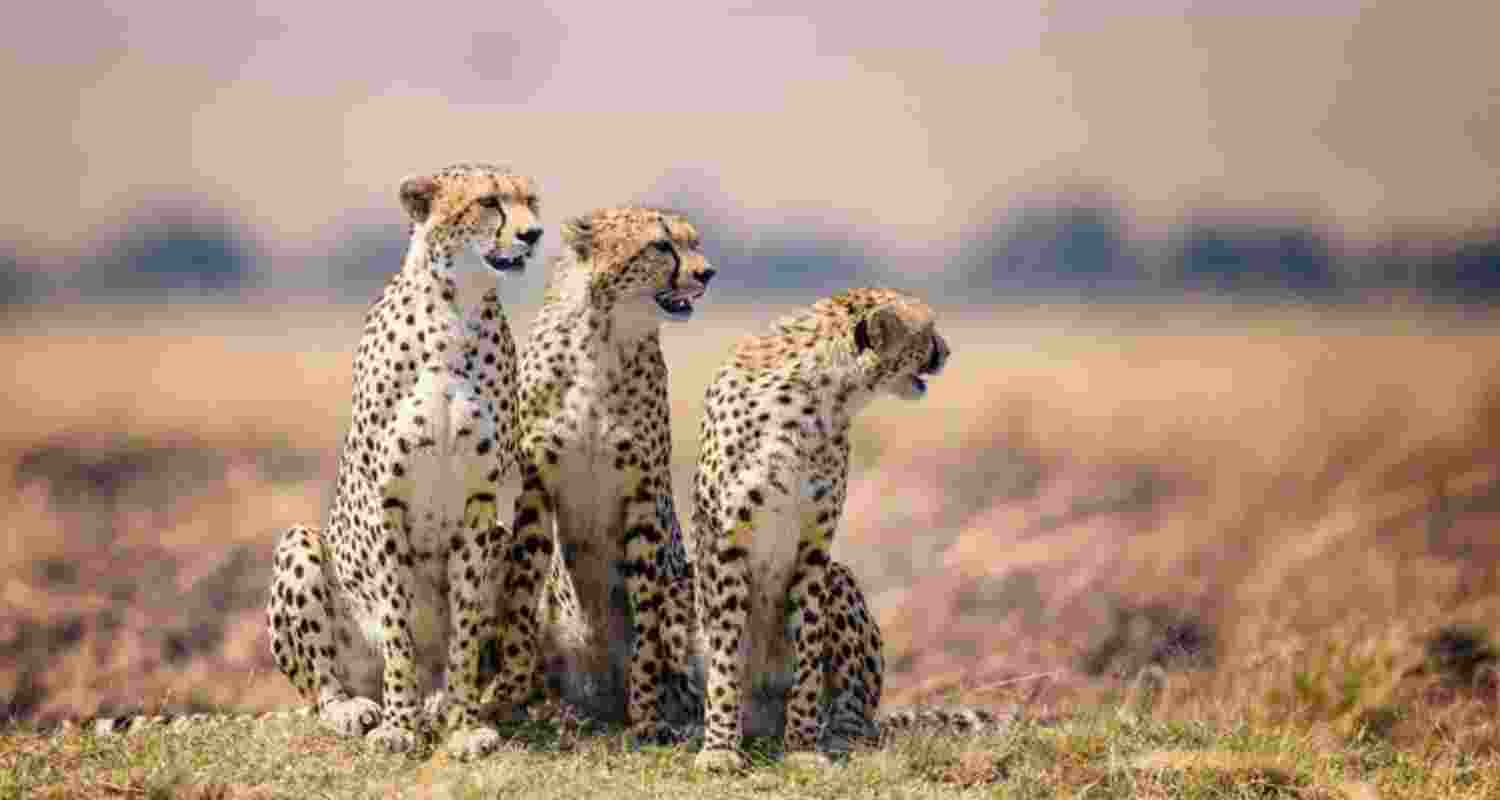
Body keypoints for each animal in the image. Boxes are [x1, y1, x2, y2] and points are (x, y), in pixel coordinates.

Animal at [264, 163, 543, 760]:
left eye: (532, 201)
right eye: (489, 202)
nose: (533, 234)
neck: (455, 310)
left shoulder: (480, 504)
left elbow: (464, 632)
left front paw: (463, 724)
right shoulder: (384, 502)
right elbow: (396, 627)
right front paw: (397, 725)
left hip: (512, 538)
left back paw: (439, 704)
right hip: (300, 542)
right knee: (324, 685)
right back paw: (356, 707)